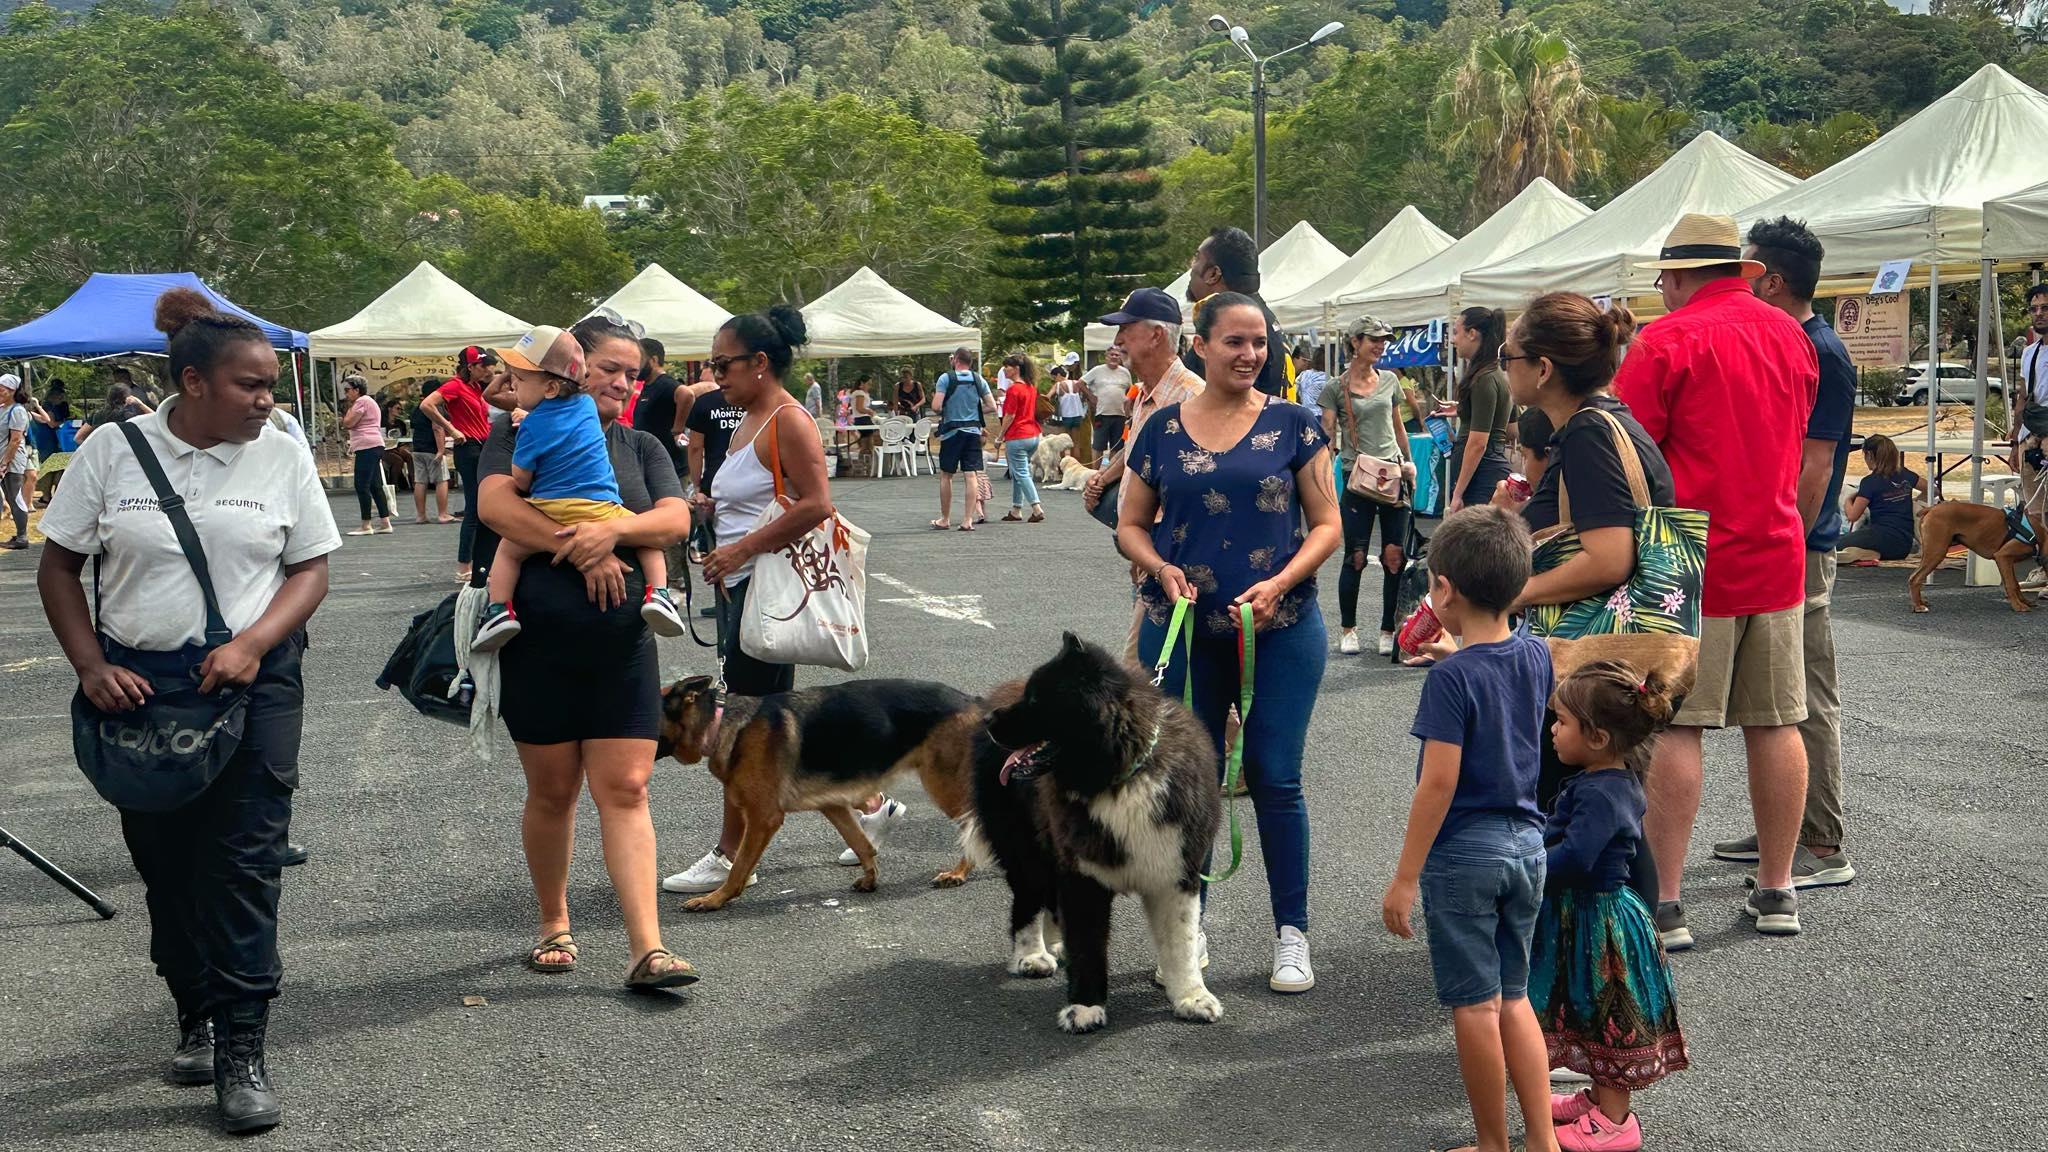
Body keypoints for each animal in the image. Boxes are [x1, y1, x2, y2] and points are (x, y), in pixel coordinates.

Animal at [651, 672, 978, 906]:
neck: (719, 724)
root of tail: (971, 700)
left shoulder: (763, 818)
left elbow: (739, 866)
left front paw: (715, 899)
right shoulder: (832, 805)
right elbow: (862, 844)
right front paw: (870, 878)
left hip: (942, 785)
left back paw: (959, 872)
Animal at [958, 631, 1212, 1037]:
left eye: (1036, 699)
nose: (988, 719)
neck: (1121, 778)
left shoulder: (1176, 870)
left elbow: (1181, 943)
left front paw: (1191, 997)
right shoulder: (1083, 875)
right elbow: (1089, 946)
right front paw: (1085, 1007)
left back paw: (1055, 945)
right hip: (1026, 850)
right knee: (1027, 902)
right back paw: (1032, 956)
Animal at [1908, 500, 2039, 614]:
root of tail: (1931, 508)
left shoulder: (2008, 562)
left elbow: (2015, 583)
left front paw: (2024, 601)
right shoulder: (2003, 557)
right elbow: (2011, 584)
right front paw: (2018, 606)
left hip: (1929, 552)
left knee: (1914, 576)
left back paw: (1921, 602)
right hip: (1936, 553)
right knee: (1915, 578)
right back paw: (1918, 606)